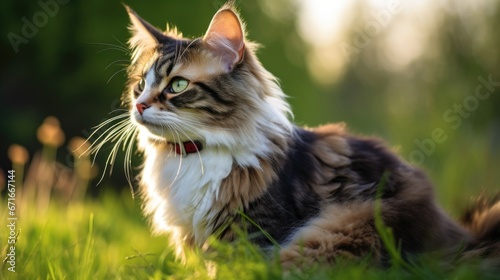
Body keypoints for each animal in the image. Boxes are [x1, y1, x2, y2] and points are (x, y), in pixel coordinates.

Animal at [89, 1, 500, 270]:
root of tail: (462, 242)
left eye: (177, 85)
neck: (194, 154)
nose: (140, 105)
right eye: (140, 85)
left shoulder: (253, 233)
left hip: (338, 231)